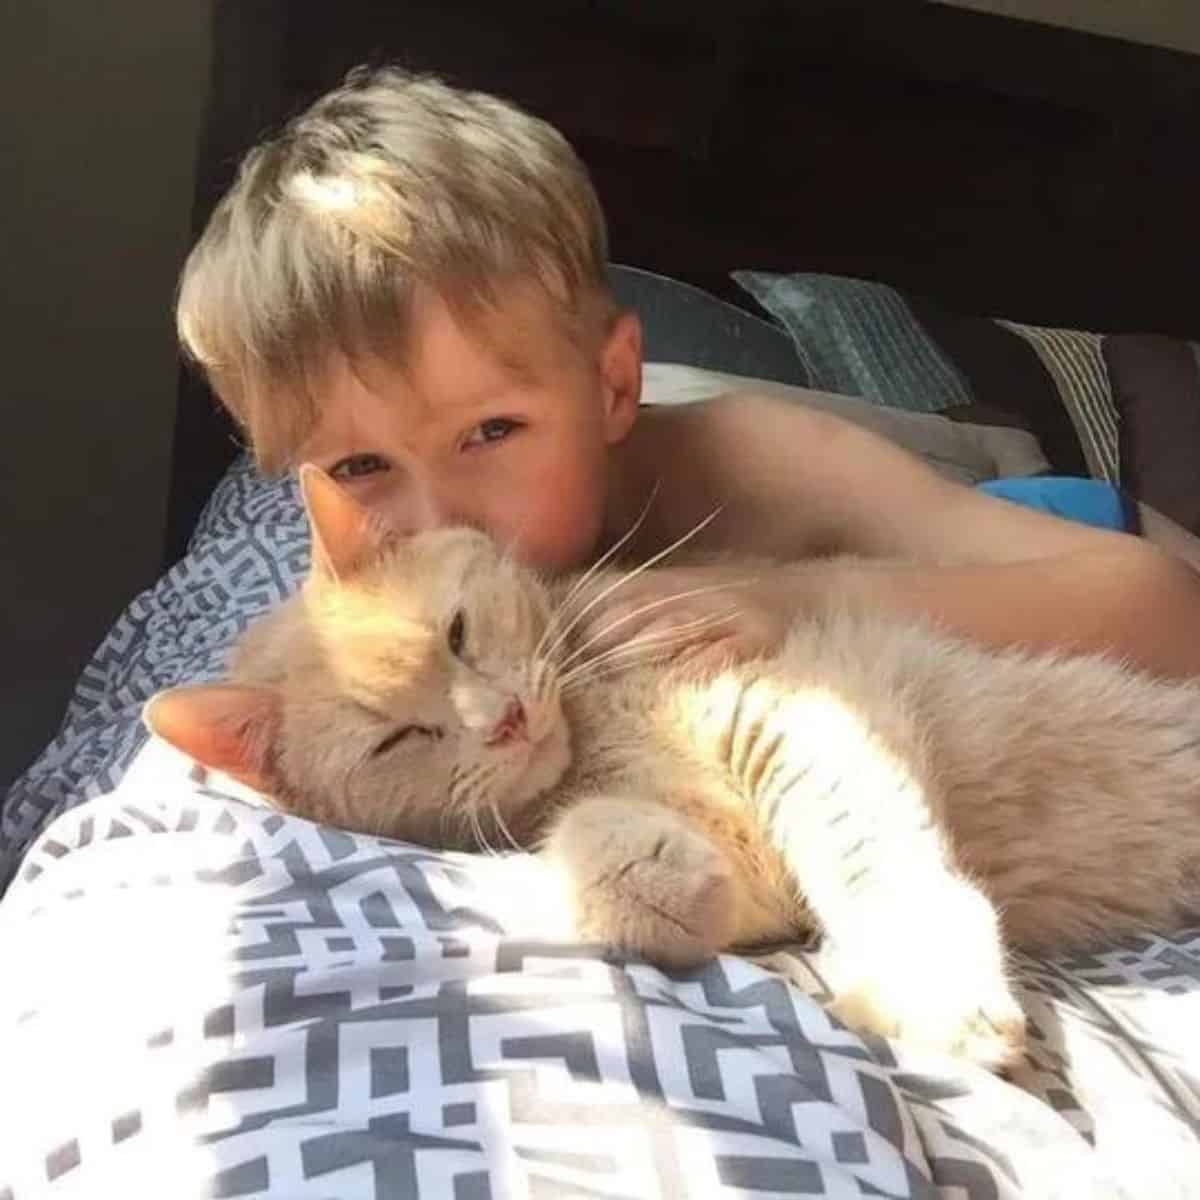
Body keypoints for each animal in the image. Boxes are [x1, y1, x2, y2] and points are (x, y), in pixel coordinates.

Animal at [145, 468, 1200, 1070]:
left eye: (457, 632)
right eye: (395, 740)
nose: (507, 720)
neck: (596, 729)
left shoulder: (793, 711)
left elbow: (871, 852)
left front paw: (930, 984)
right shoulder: (742, 858)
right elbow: (634, 882)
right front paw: (652, 869)